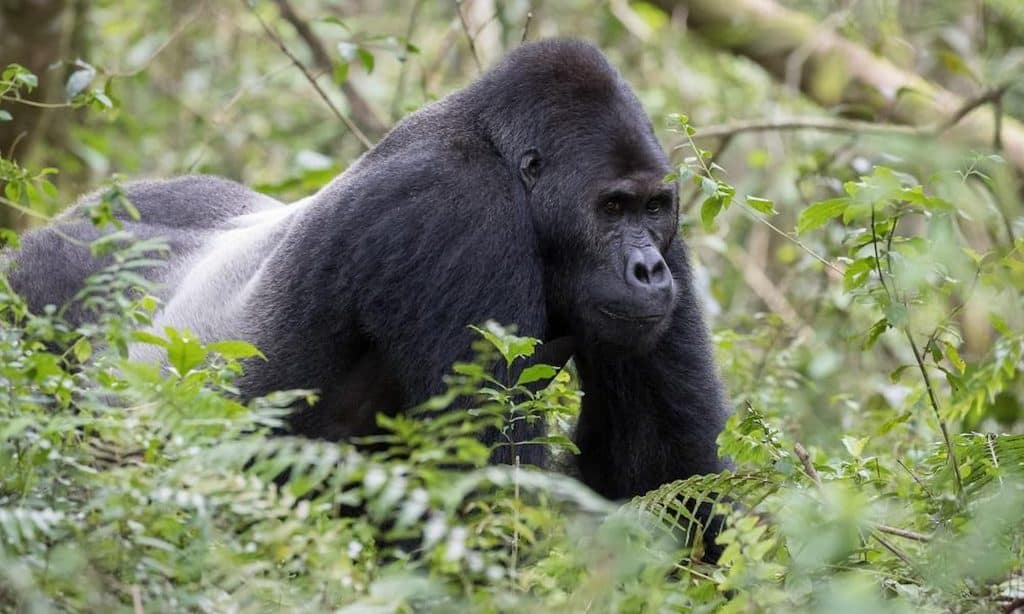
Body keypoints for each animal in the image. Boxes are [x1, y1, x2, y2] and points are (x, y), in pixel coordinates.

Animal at [6, 40, 729, 503]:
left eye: (651, 208)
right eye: (611, 208)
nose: (647, 269)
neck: (493, 146)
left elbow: (663, 473)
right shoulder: (460, 214)